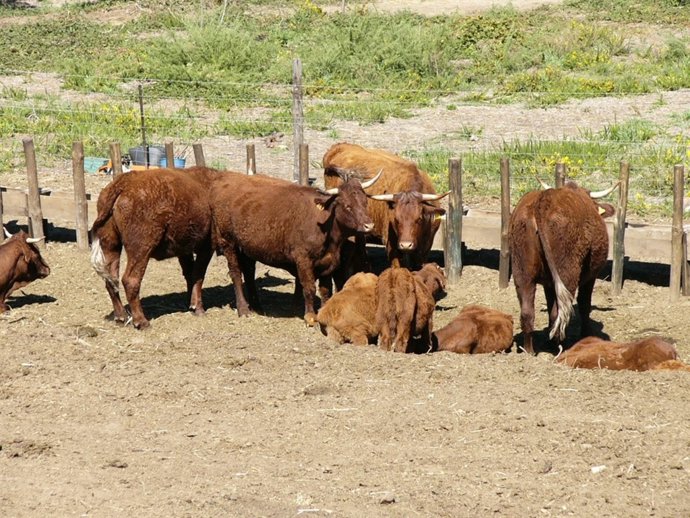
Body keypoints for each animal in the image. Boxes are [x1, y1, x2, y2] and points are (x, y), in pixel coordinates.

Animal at [90, 166, 223, 329]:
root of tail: (125, 181)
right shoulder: (207, 247)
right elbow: (198, 276)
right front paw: (198, 308)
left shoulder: (184, 250)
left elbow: (189, 274)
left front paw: (189, 303)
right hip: (141, 249)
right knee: (130, 280)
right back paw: (141, 321)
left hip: (111, 246)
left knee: (111, 280)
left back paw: (121, 317)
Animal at [210, 170, 380, 326]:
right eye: (347, 206)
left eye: (365, 202)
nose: (369, 225)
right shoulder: (303, 259)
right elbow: (309, 287)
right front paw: (310, 316)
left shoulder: (329, 262)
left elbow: (326, 290)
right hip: (228, 242)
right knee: (236, 274)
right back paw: (243, 309)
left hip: (247, 247)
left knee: (249, 272)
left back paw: (257, 306)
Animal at [323, 142, 448, 277]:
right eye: (396, 219)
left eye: (419, 219)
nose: (406, 245)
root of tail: (338, 147)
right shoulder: (392, 244)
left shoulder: (426, 245)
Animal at [509, 180, 618, 354]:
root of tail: (544, 200)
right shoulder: (590, 277)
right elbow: (584, 304)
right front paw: (586, 335)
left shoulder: (548, 283)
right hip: (567, 273)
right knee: (558, 313)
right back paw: (558, 347)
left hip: (522, 272)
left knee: (527, 312)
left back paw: (529, 351)